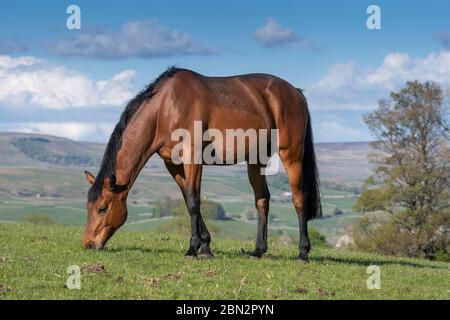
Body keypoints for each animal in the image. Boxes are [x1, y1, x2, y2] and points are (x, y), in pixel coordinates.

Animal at [82, 67, 322, 262]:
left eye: (102, 208)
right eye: (88, 207)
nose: (88, 244)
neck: (165, 108)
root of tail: (295, 92)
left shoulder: (193, 157)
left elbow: (193, 201)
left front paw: (192, 249)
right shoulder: (173, 163)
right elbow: (189, 199)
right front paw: (206, 247)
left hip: (291, 155)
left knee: (299, 199)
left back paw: (303, 252)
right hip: (256, 159)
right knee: (262, 200)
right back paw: (258, 251)